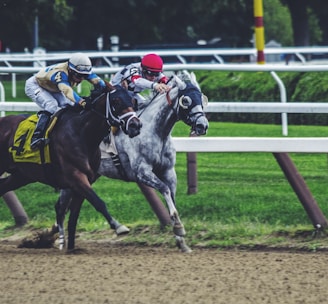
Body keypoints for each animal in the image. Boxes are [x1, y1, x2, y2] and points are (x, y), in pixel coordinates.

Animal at [1, 82, 142, 251]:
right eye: (116, 101)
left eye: (133, 101)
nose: (135, 125)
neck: (82, 133)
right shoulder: (76, 176)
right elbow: (98, 202)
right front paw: (119, 226)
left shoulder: (86, 179)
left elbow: (74, 215)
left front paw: (71, 248)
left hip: (22, 175)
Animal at [56, 71, 209, 252]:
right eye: (186, 101)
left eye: (202, 98)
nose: (202, 125)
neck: (155, 132)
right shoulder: (142, 172)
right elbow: (164, 189)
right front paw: (178, 226)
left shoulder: (168, 171)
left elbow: (171, 196)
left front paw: (181, 240)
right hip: (73, 174)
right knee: (60, 206)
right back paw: (59, 240)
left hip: (89, 177)